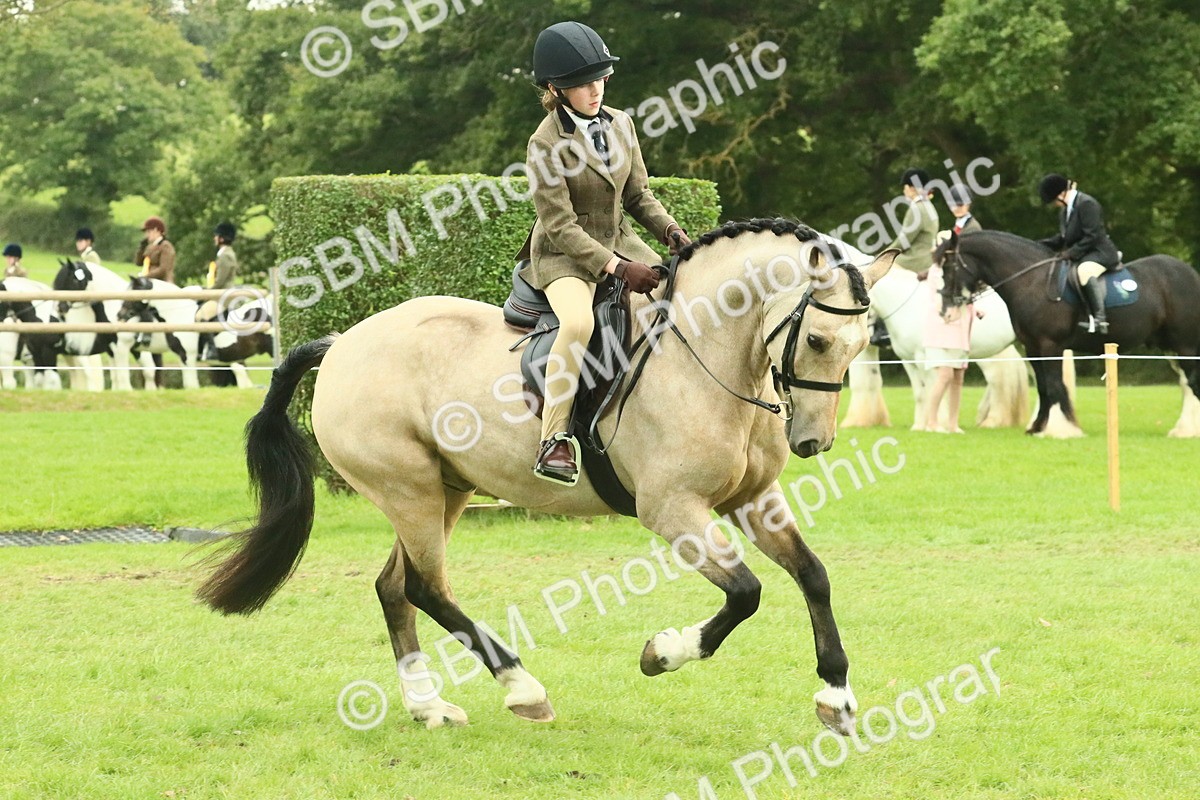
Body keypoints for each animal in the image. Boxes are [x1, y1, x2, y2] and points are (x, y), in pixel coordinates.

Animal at [198, 219, 897, 734]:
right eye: (817, 341)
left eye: (863, 343)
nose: (813, 442)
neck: (706, 356)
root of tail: (341, 344)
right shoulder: (672, 509)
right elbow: (745, 593)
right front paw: (662, 653)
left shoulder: (753, 498)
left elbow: (813, 575)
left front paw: (836, 697)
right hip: (410, 490)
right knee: (425, 588)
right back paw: (521, 688)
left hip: (443, 490)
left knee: (395, 588)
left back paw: (429, 707)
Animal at [840, 259, 1029, 430]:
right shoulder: (907, 359)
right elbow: (917, 392)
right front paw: (918, 426)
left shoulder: (924, 357)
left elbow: (930, 390)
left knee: (999, 379)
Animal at [937, 230, 1200, 438]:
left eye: (949, 267)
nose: (946, 311)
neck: (1031, 281)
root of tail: (1190, 274)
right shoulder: (1033, 347)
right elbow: (1044, 387)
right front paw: (1038, 428)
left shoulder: (1050, 345)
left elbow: (1055, 385)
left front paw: (1061, 429)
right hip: (1171, 347)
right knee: (1187, 383)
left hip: (1185, 346)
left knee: (1191, 382)